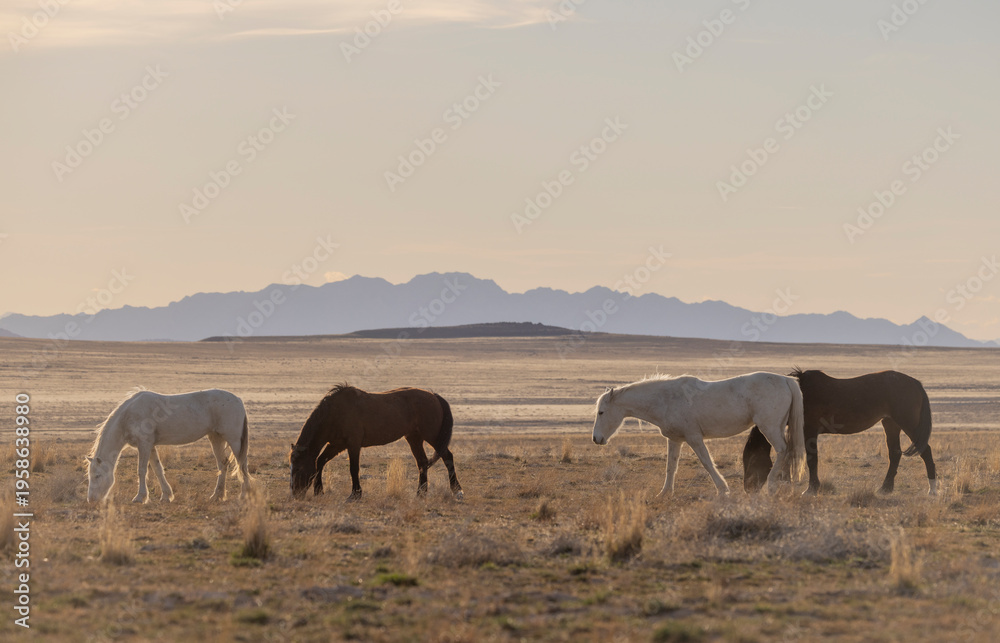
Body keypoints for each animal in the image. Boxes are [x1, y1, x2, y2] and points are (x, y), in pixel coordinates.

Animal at [86, 388, 250, 503]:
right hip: (216, 438)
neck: (128, 415)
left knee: (241, 465)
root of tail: (238, 400)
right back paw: (217, 495)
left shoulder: (144, 444)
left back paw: (244, 495)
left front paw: (140, 497)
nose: (91, 500)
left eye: (97, 475)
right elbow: (158, 469)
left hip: (234, 440)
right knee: (223, 464)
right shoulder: (150, 446)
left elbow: (142, 470)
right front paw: (166, 495)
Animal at [288, 384, 463, 501]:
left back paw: (457, 490)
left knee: (447, 457)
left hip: (432, 436)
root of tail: (434, 396)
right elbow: (320, 461)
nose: (294, 494)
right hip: (414, 438)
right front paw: (319, 491)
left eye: (298, 468)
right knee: (422, 462)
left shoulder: (353, 445)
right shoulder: (337, 445)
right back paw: (421, 493)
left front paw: (355, 494)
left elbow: (353, 469)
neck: (335, 413)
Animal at [592, 372, 805, 496]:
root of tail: (786, 380)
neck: (665, 399)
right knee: (787, 452)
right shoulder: (675, 439)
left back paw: (771, 485)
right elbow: (671, 466)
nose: (596, 438)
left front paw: (722, 489)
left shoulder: (694, 438)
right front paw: (665, 493)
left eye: (601, 412)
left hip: (769, 427)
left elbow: (707, 462)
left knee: (783, 450)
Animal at [741, 369, 937, 495]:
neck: (798, 394)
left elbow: (812, 460)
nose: (747, 489)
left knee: (925, 451)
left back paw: (932, 490)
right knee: (895, 454)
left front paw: (811, 489)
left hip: (907, 422)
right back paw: (885, 489)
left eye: (751, 461)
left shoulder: (809, 431)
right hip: (890, 423)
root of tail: (915, 383)